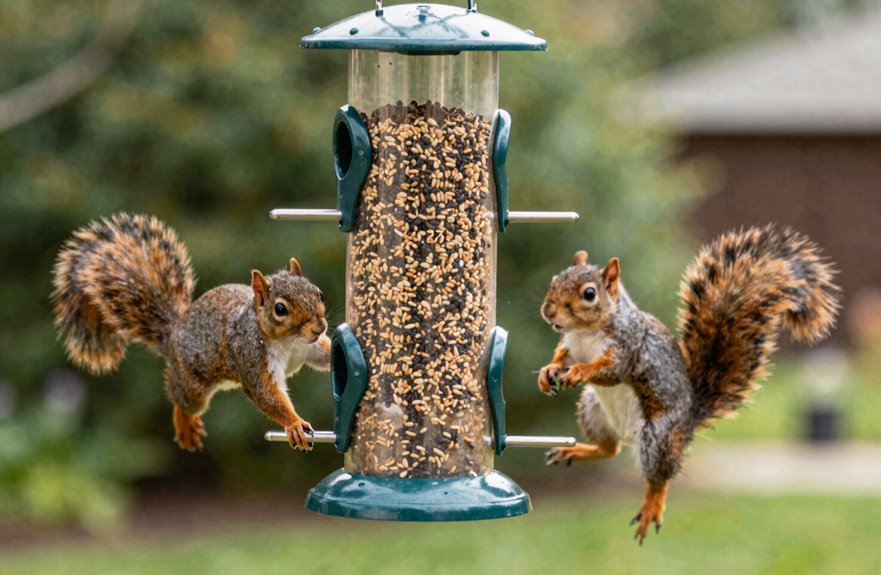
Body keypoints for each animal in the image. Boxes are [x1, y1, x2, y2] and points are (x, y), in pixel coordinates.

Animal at [51, 213, 331, 452]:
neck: (288, 342)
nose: (320, 327)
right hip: (192, 385)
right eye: (280, 309)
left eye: (319, 293)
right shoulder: (251, 356)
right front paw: (294, 424)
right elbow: (266, 394)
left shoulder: (310, 346)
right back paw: (185, 424)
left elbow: (322, 356)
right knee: (180, 398)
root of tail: (172, 333)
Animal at [537, 225, 841, 543]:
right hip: (592, 409)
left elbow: (611, 371)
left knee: (658, 477)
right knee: (610, 449)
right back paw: (576, 450)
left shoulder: (627, 348)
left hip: (657, 435)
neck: (585, 333)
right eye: (554, 280)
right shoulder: (571, 345)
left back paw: (651, 508)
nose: (548, 311)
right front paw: (548, 371)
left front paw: (579, 371)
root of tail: (689, 419)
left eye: (589, 293)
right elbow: (562, 356)